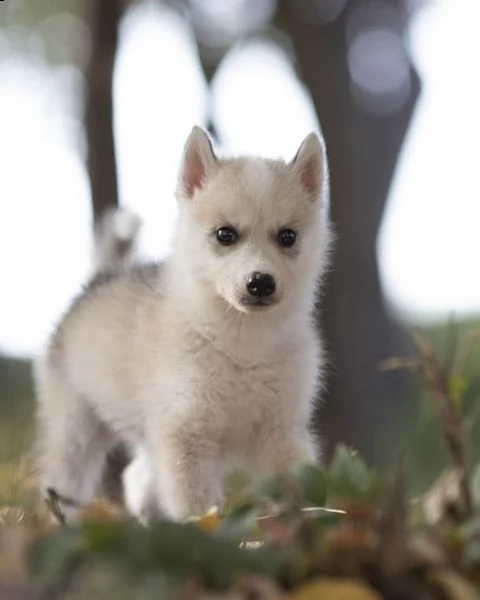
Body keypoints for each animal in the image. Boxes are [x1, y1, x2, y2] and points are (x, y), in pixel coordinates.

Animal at [33, 127, 332, 524]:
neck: (242, 343)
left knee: (136, 478)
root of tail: (99, 280)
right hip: (75, 429)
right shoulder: (185, 435)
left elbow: (298, 490)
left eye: (288, 236)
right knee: (64, 484)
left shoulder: (280, 430)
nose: (260, 283)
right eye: (225, 234)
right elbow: (198, 509)